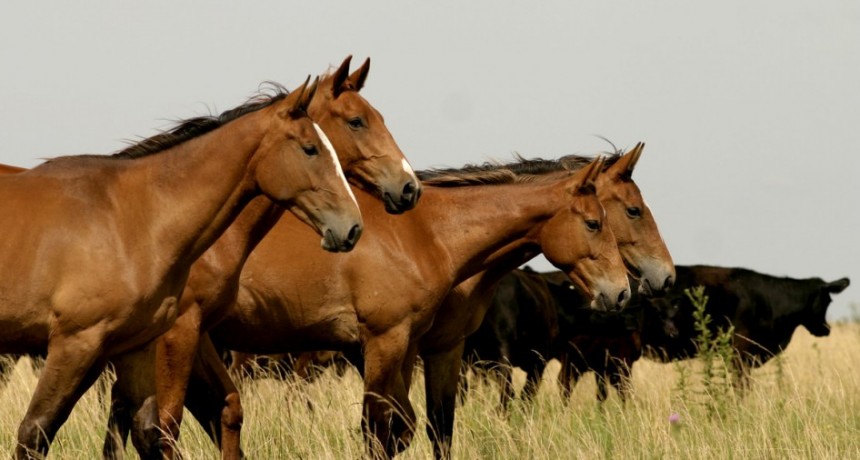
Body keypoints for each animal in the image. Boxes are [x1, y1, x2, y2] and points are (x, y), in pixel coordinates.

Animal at [0, 75, 362, 456]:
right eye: (310, 149)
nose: (353, 227)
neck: (132, 219)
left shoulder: (136, 347)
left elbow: (150, 430)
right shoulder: (77, 345)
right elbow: (35, 432)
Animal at [99, 54, 422, 460]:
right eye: (356, 121)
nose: (409, 187)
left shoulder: (199, 333)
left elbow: (228, 409)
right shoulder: (178, 332)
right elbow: (167, 424)